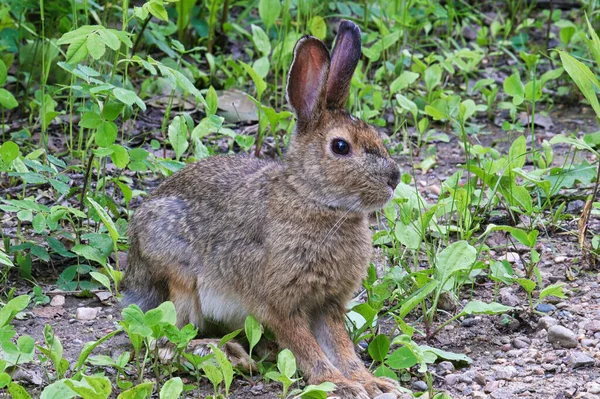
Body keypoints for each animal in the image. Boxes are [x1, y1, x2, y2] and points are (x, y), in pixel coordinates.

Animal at [123, 19, 400, 399]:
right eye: (341, 147)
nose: (395, 178)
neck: (314, 200)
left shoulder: (327, 304)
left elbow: (341, 346)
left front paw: (372, 382)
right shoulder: (279, 304)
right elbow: (307, 348)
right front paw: (340, 386)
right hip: (177, 279)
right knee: (164, 341)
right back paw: (227, 354)